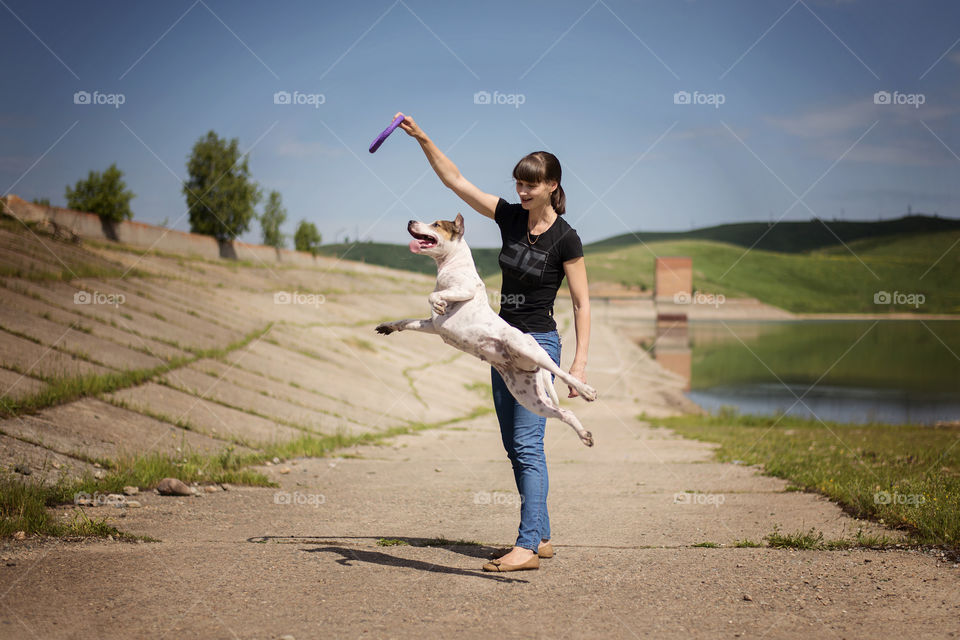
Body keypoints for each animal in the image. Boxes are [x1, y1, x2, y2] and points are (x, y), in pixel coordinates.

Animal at [376, 214, 596, 444]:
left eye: (436, 224)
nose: (410, 221)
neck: (451, 263)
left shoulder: (465, 290)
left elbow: (433, 295)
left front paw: (438, 302)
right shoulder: (432, 325)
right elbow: (407, 321)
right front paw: (387, 326)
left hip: (530, 350)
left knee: (562, 373)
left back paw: (586, 391)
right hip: (527, 396)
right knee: (564, 412)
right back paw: (584, 435)